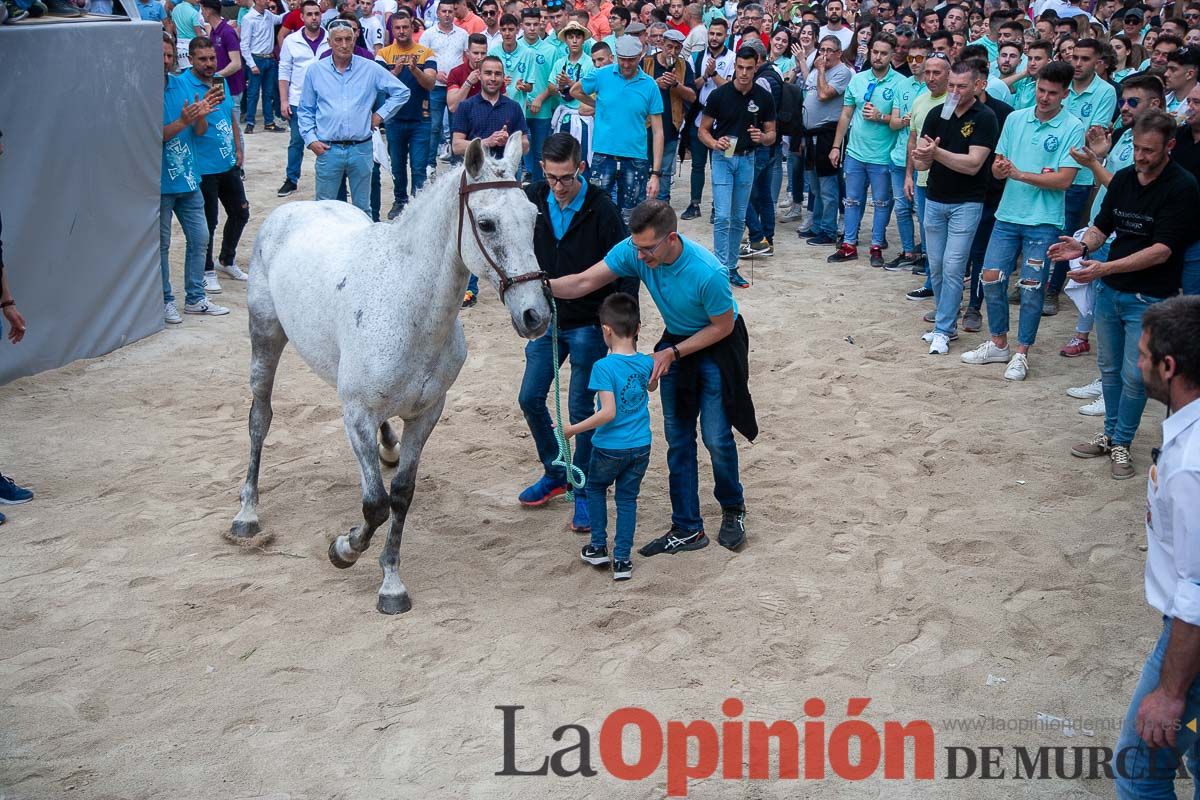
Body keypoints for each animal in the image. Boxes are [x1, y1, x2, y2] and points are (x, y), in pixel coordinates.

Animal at [225, 136, 549, 614]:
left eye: (533, 217)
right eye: (487, 224)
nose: (535, 315)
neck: (405, 301)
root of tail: (293, 211)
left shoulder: (427, 413)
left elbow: (401, 494)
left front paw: (391, 581)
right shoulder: (356, 413)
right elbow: (375, 504)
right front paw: (344, 549)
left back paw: (388, 448)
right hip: (265, 339)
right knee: (259, 420)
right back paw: (247, 513)